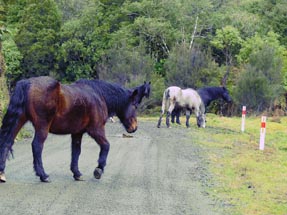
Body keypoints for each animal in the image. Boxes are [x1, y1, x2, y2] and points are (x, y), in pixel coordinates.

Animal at [0, 76, 144, 182]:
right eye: (135, 105)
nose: (134, 128)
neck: (98, 95)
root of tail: (27, 83)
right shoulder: (96, 129)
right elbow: (106, 146)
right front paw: (99, 169)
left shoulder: (77, 133)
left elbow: (76, 152)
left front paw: (77, 173)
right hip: (42, 127)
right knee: (37, 146)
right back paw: (43, 175)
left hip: (19, 121)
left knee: (7, 142)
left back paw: (2, 173)